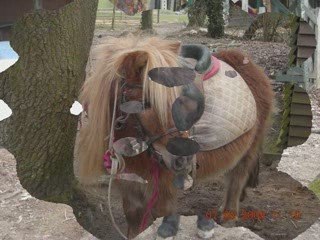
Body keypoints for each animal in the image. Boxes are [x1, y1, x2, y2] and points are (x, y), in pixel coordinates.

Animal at [77, 36, 272, 238]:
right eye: (146, 103)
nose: (183, 160)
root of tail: (245, 61)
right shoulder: (130, 188)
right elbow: (134, 223)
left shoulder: (162, 189)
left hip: (248, 150)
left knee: (237, 179)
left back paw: (228, 217)